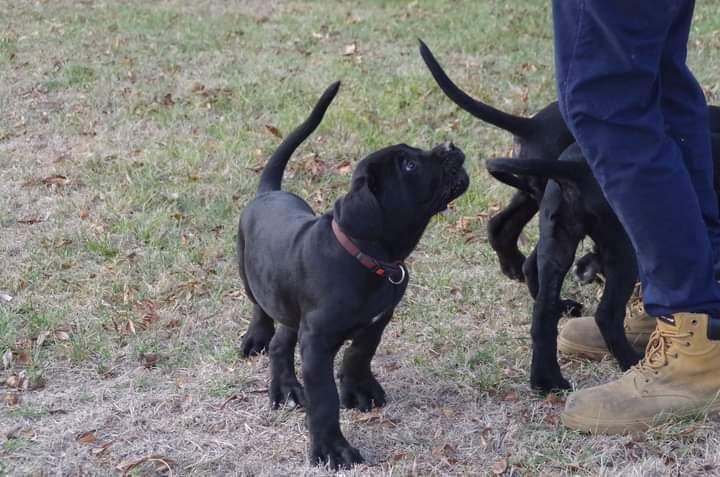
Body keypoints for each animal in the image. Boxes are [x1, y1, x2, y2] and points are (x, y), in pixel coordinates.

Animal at [239, 82, 470, 468]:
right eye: (409, 165)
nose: (451, 147)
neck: (368, 258)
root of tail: (269, 192)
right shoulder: (317, 343)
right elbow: (323, 400)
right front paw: (331, 449)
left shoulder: (378, 319)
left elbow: (361, 352)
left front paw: (359, 389)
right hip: (248, 273)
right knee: (262, 312)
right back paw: (257, 339)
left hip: (290, 305)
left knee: (281, 341)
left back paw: (285, 388)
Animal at [486, 135, 720, 390]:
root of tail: (576, 167)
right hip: (625, 250)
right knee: (606, 314)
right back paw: (631, 362)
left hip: (557, 243)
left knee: (542, 309)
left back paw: (548, 380)